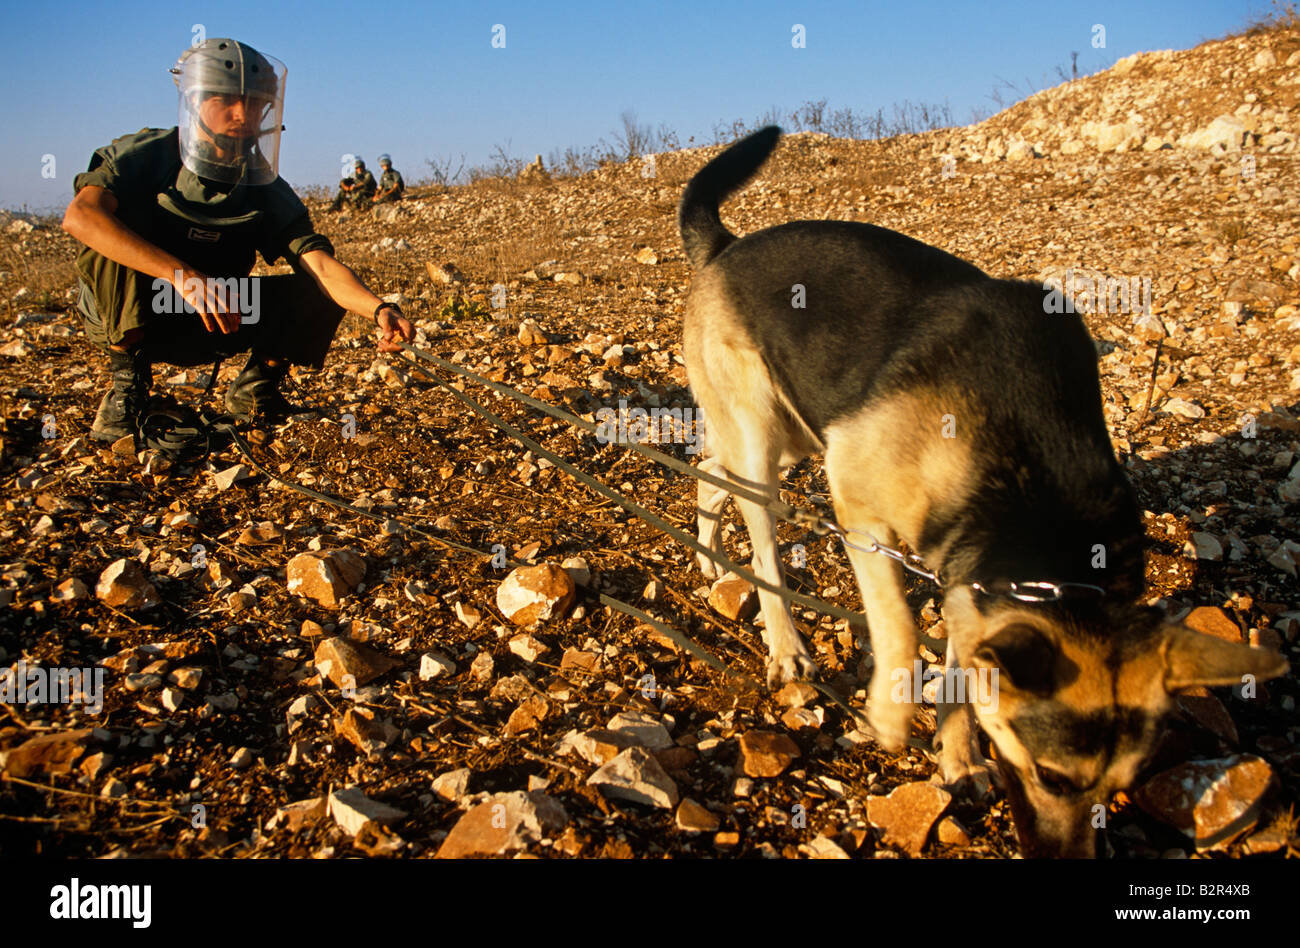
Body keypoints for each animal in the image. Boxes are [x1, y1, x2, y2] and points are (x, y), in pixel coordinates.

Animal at [676, 122, 1284, 853]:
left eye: (1118, 789)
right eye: (1052, 778)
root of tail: (726, 246)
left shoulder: (968, 577)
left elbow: (964, 669)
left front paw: (959, 758)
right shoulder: (863, 513)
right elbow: (903, 625)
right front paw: (889, 716)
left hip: (792, 431)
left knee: (711, 476)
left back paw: (711, 562)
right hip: (767, 441)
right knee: (763, 543)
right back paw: (786, 646)